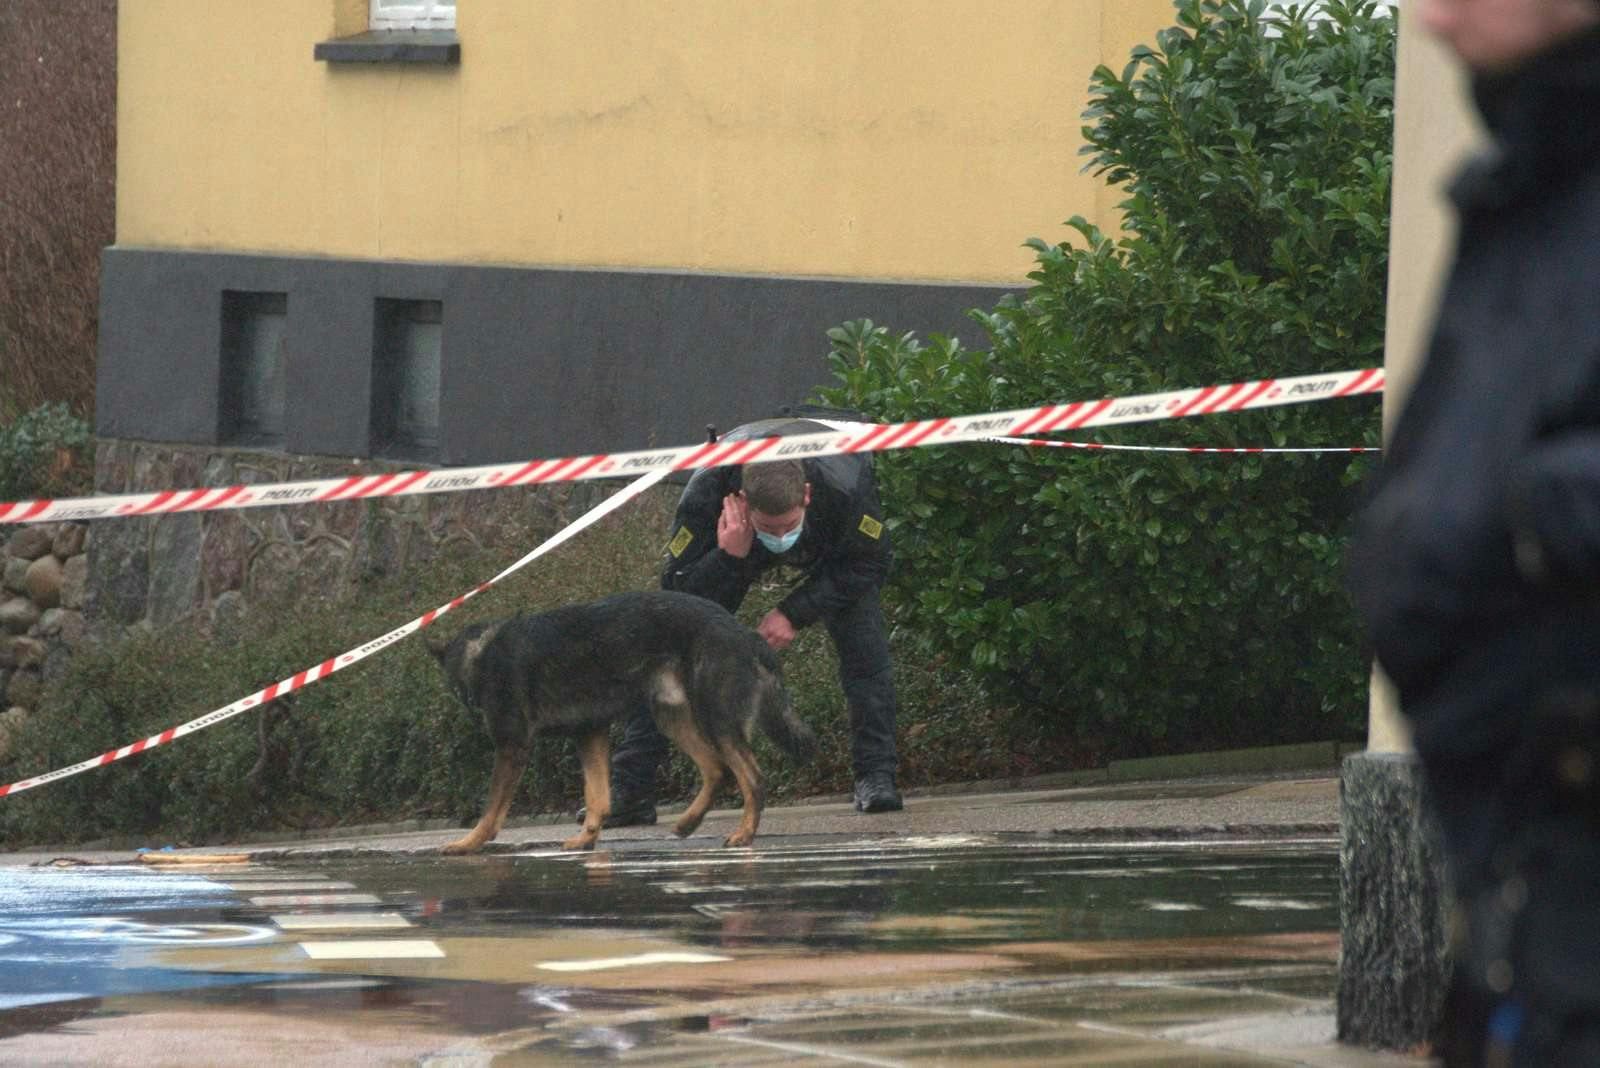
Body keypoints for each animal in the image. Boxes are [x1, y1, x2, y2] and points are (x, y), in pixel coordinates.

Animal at [425, 588, 812, 856]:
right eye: (455, 688)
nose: (471, 711)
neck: (481, 654)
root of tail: (745, 632)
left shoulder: (512, 748)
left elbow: (491, 809)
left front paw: (469, 843)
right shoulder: (590, 733)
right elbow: (598, 796)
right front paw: (587, 839)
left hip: (715, 719)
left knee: (752, 778)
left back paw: (744, 834)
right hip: (671, 717)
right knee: (717, 770)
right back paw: (689, 822)